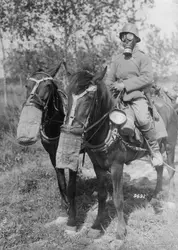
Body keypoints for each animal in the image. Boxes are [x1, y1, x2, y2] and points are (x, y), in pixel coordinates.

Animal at [56, 67, 178, 239]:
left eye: (90, 97)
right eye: (67, 95)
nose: (70, 129)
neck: (107, 128)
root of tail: (169, 105)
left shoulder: (117, 167)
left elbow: (118, 198)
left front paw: (120, 230)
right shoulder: (98, 166)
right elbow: (101, 196)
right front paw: (96, 226)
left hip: (169, 145)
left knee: (170, 169)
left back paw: (170, 197)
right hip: (155, 152)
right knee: (160, 168)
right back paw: (154, 198)